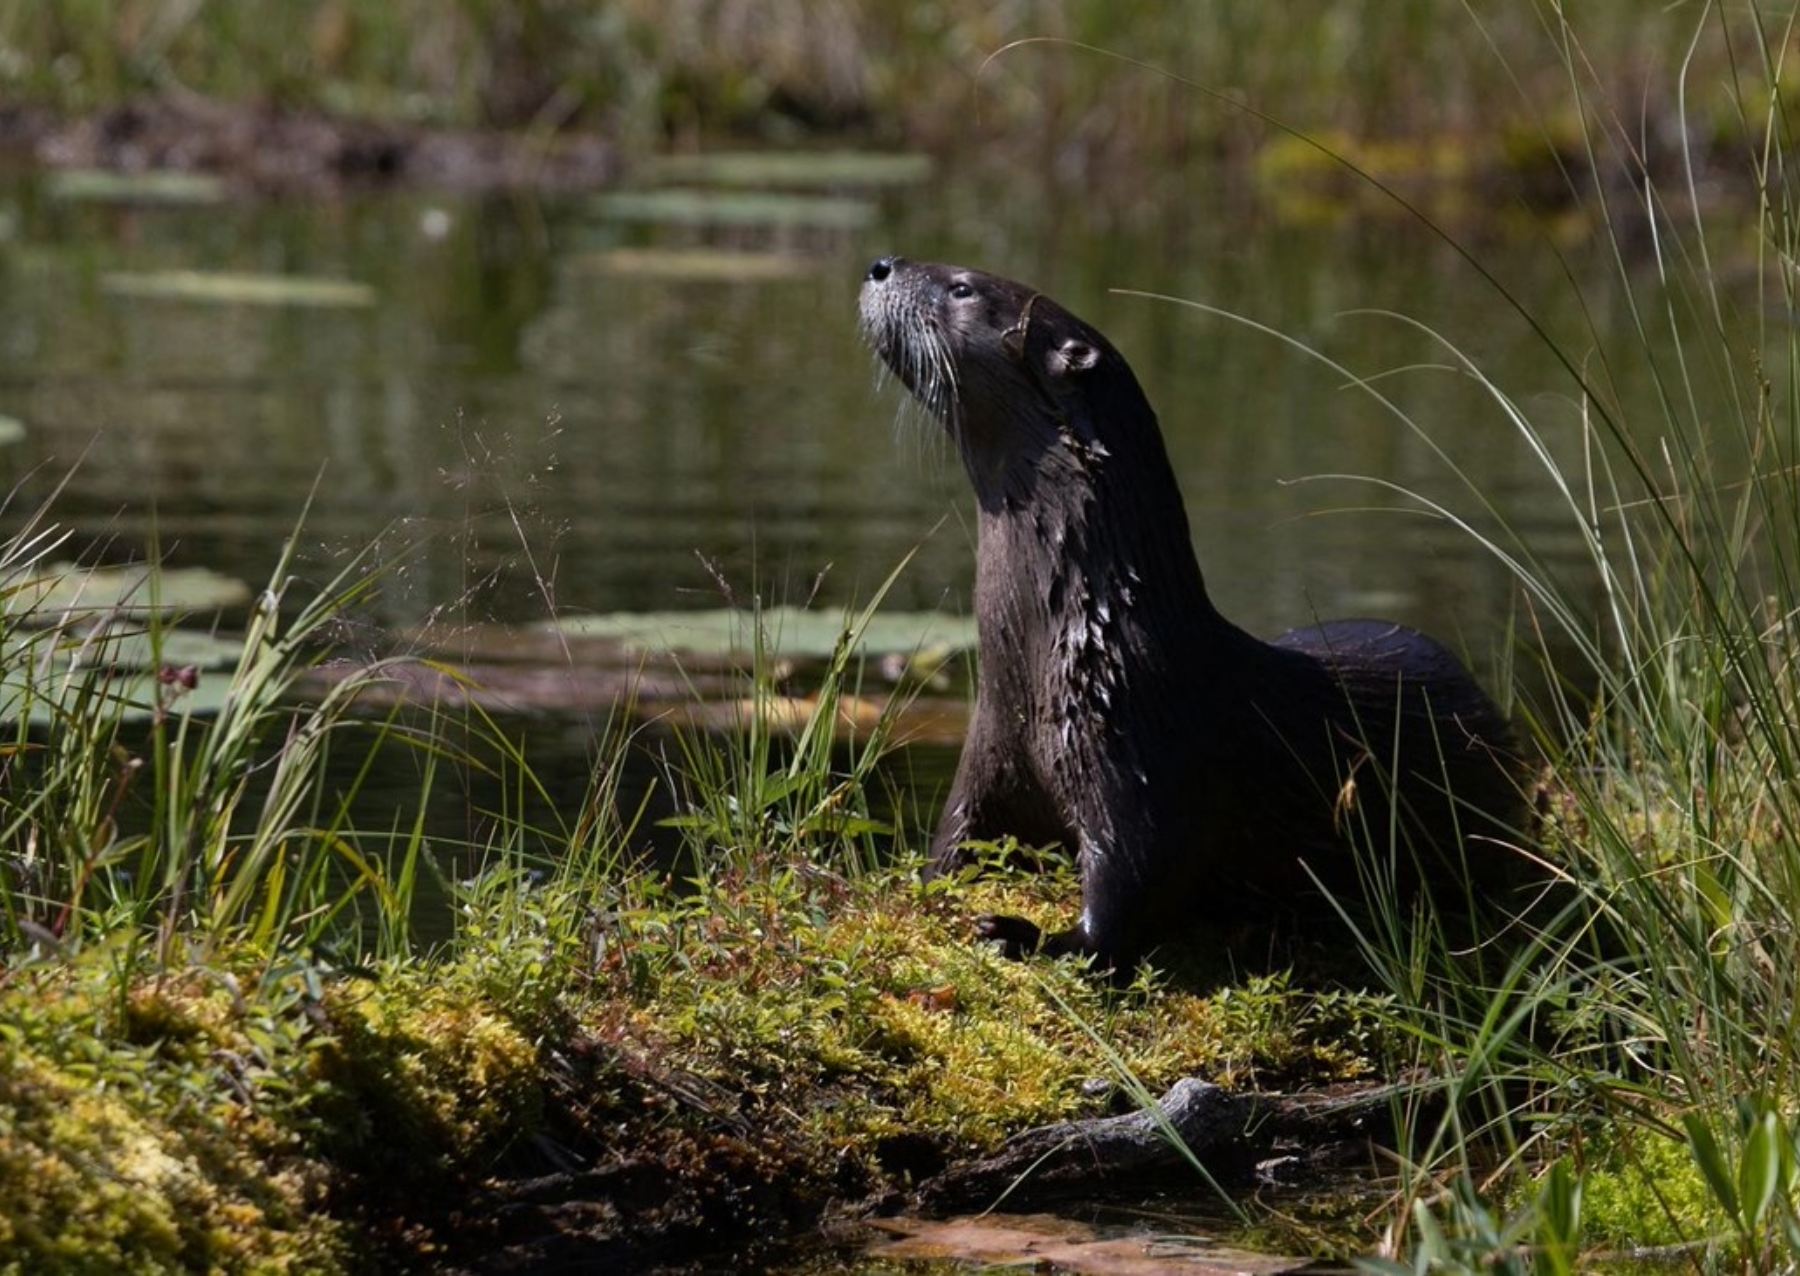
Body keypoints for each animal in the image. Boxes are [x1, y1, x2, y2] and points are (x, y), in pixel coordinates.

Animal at [859, 256, 1528, 972]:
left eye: (963, 287)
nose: (881, 264)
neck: (1077, 644)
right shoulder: (990, 749)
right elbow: (955, 841)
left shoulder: (1146, 762)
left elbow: (1129, 899)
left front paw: (1027, 934)